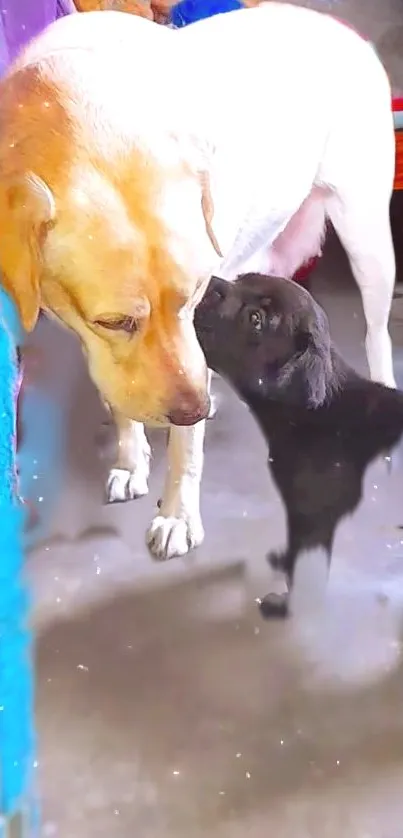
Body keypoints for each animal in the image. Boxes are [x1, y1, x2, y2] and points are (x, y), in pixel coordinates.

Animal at [195, 272, 403, 620]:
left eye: (256, 319)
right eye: (242, 279)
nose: (207, 283)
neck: (317, 414)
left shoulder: (313, 519)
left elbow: (306, 574)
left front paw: (286, 607)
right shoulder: (299, 514)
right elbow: (293, 551)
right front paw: (283, 562)